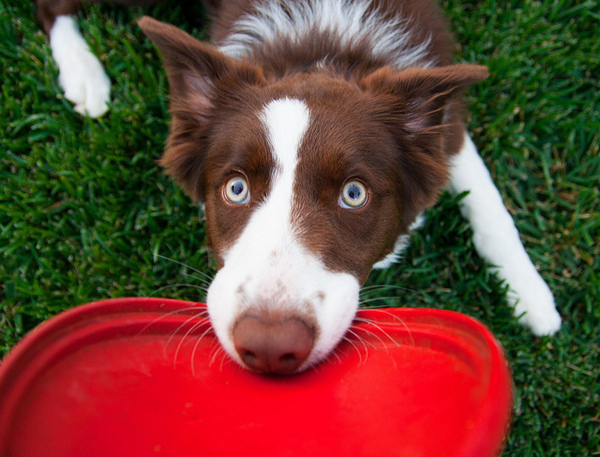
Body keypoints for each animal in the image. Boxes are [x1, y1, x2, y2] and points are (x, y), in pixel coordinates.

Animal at [36, 0, 562, 374]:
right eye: (236, 189)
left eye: (354, 194)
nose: (270, 349)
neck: (319, 54)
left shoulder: (446, 131)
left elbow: (491, 207)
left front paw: (532, 296)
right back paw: (84, 74)